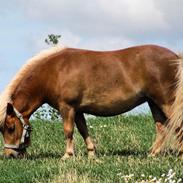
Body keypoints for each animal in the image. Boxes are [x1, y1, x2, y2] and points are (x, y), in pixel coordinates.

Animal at [0, 45, 181, 158]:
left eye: (10, 128)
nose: (10, 155)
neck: (54, 72)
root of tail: (176, 57)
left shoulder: (67, 108)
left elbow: (68, 131)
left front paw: (67, 155)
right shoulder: (78, 110)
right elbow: (83, 130)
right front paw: (91, 154)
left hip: (166, 101)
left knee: (177, 125)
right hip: (153, 102)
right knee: (162, 128)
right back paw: (152, 154)